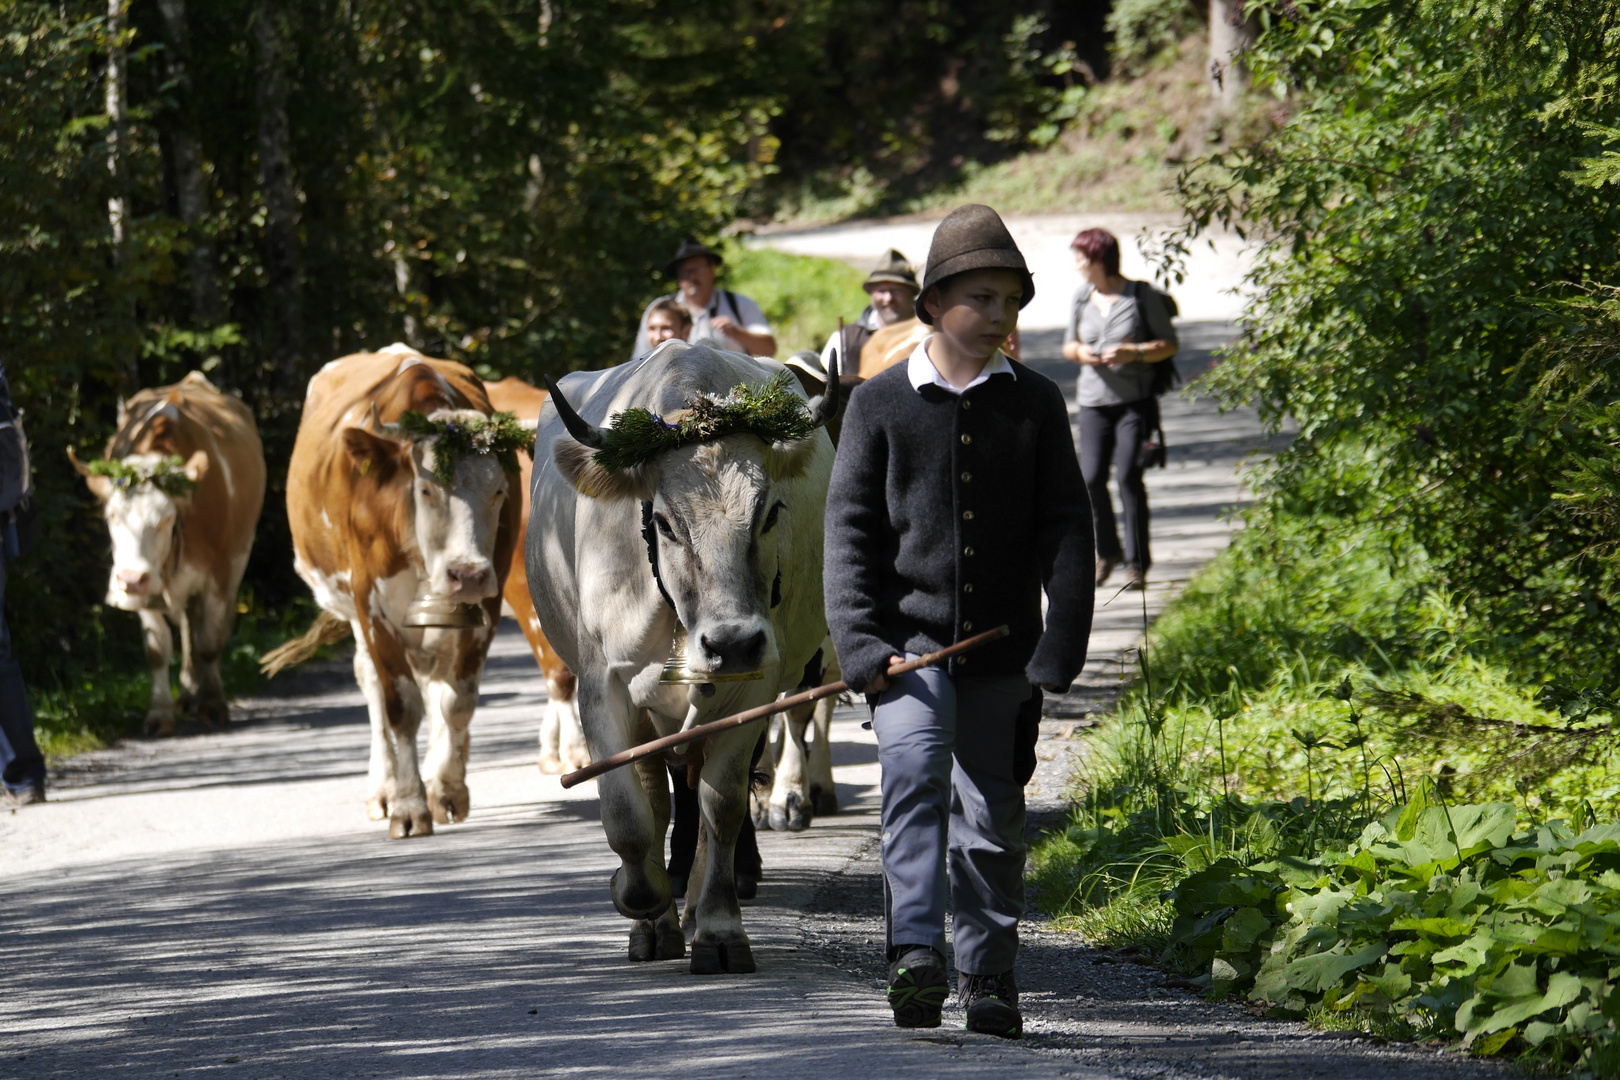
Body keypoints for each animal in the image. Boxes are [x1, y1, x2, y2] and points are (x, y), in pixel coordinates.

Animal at [70, 369, 265, 735]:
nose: (130, 578)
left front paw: (213, 705)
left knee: (204, 630)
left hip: (238, 561)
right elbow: (158, 649)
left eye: (166, 519)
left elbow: (209, 642)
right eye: (112, 516)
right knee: (188, 627)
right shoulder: (147, 586)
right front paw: (160, 712)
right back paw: (187, 693)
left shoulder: (217, 577)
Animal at [281, 351, 521, 841]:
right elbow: (400, 705)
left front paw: (446, 789)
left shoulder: (486, 604)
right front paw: (408, 805)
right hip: (354, 612)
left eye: (499, 490)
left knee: (436, 681)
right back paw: (383, 788)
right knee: (372, 683)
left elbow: (457, 701)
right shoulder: (370, 604)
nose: (467, 574)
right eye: (426, 489)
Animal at [528, 341, 835, 977]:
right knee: (656, 795)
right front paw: (640, 898)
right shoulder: (601, 686)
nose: (733, 642)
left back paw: (695, 904)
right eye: (664, 523)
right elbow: (627, 814)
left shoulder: (755, 684)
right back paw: (661, 917)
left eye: (770, 513)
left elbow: (722, 802)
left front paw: (719, 928)